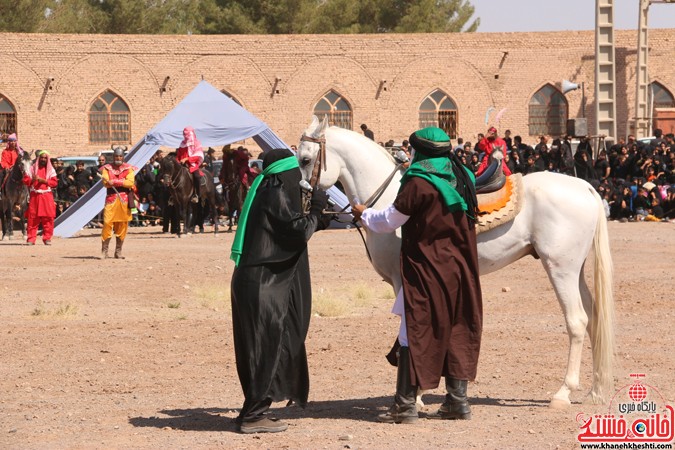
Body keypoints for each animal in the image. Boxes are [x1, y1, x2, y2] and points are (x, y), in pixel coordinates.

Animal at [298, 116, 616, 408]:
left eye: (305, 159)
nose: (301, 203)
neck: (388, 199)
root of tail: (585, 188)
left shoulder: (404, 279)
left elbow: (411, 327)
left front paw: (415, 395)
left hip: (560, 268)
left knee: (577, 321)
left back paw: (563, 393)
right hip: (575, 270)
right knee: (595, 319)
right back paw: (595, 390)